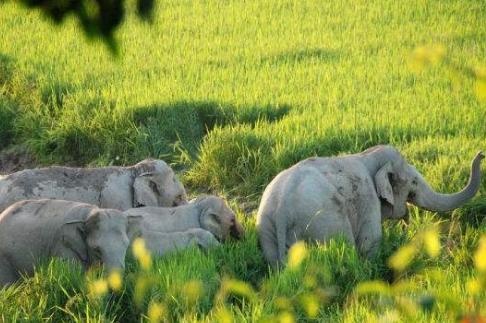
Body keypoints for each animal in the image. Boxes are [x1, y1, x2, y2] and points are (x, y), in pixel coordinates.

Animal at [256, 146, 484, 268]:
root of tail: (282, 208)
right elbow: (369, 244)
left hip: (267, 229)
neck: (367, 154)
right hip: (325, 224)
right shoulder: (368, 201)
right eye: (413, 183)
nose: (482, 154)